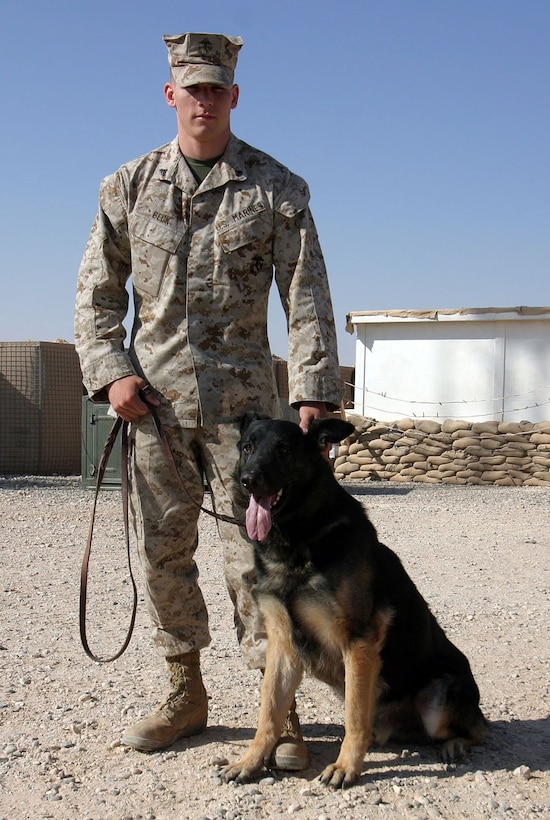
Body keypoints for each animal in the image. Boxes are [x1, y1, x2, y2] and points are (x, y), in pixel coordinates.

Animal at [222, 416, 490, 788]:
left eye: (284, 450)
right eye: (248, 446)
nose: (249, 480)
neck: (299, 538)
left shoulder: (358, 642)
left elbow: (354, 717)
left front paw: (345, 766)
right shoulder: (283, 645)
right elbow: (269, 712)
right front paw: (250, 762)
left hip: (436, 701)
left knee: (477, 731)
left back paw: (454, 745)